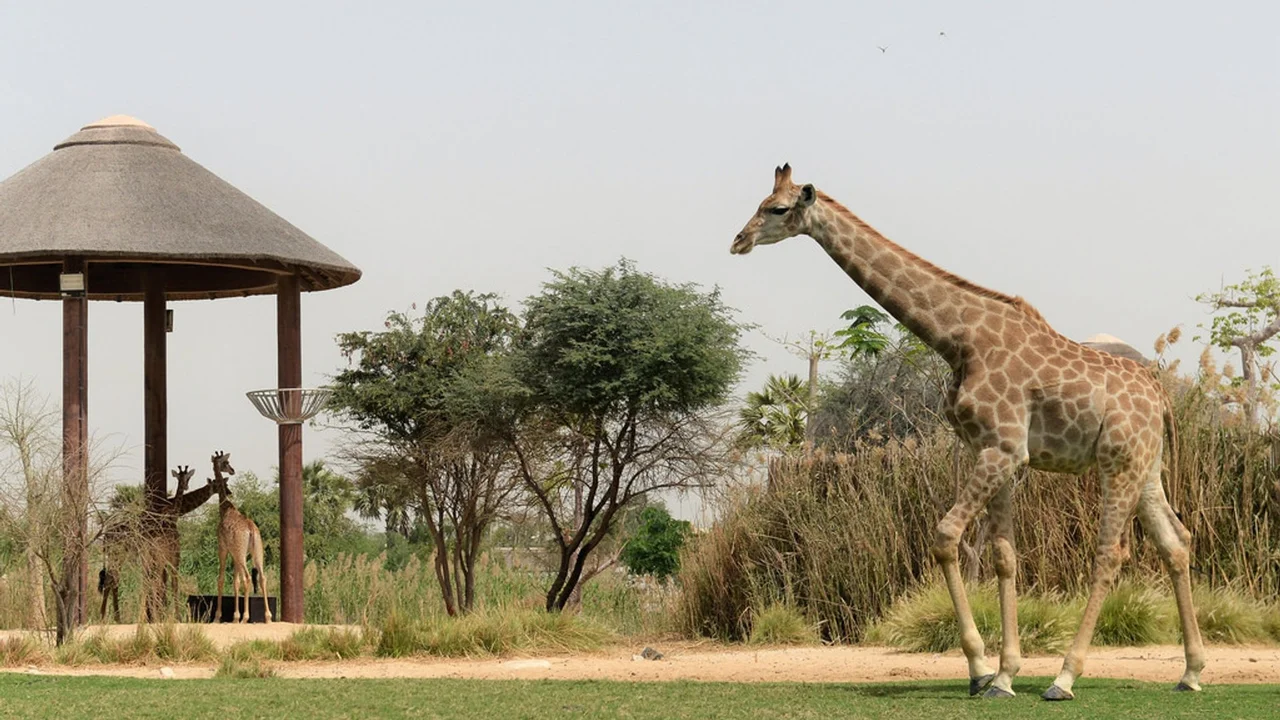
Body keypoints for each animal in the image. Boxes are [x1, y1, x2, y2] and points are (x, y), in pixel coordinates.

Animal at [210, 451, 271, 624]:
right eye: (226, 462)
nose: (232, 470)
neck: (225, 508)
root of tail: (250, 529)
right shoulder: (235, 554)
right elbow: (235, 582)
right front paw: (235, 617)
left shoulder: (223, 548)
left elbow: (221, 579)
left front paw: (218, 617)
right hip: (256, 551)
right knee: (262, 577)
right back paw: (268, 617)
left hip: (241, 553)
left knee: (248, 577)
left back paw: (246, 617)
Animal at [730, 164, 1204, 700]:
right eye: (761, 202)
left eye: (777, 208)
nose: (739, 240)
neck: (958, 339)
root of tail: (1161, 399)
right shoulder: (993, 449)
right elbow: (1003, 556)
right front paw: (1003, 675)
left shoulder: (1003, 449)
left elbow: (945, 535)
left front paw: (979, 668)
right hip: (1146, 466)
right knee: (1176, 542)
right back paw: (1190, 673)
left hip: (1117, 462)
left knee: (1111, 553)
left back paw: (1064, 677)